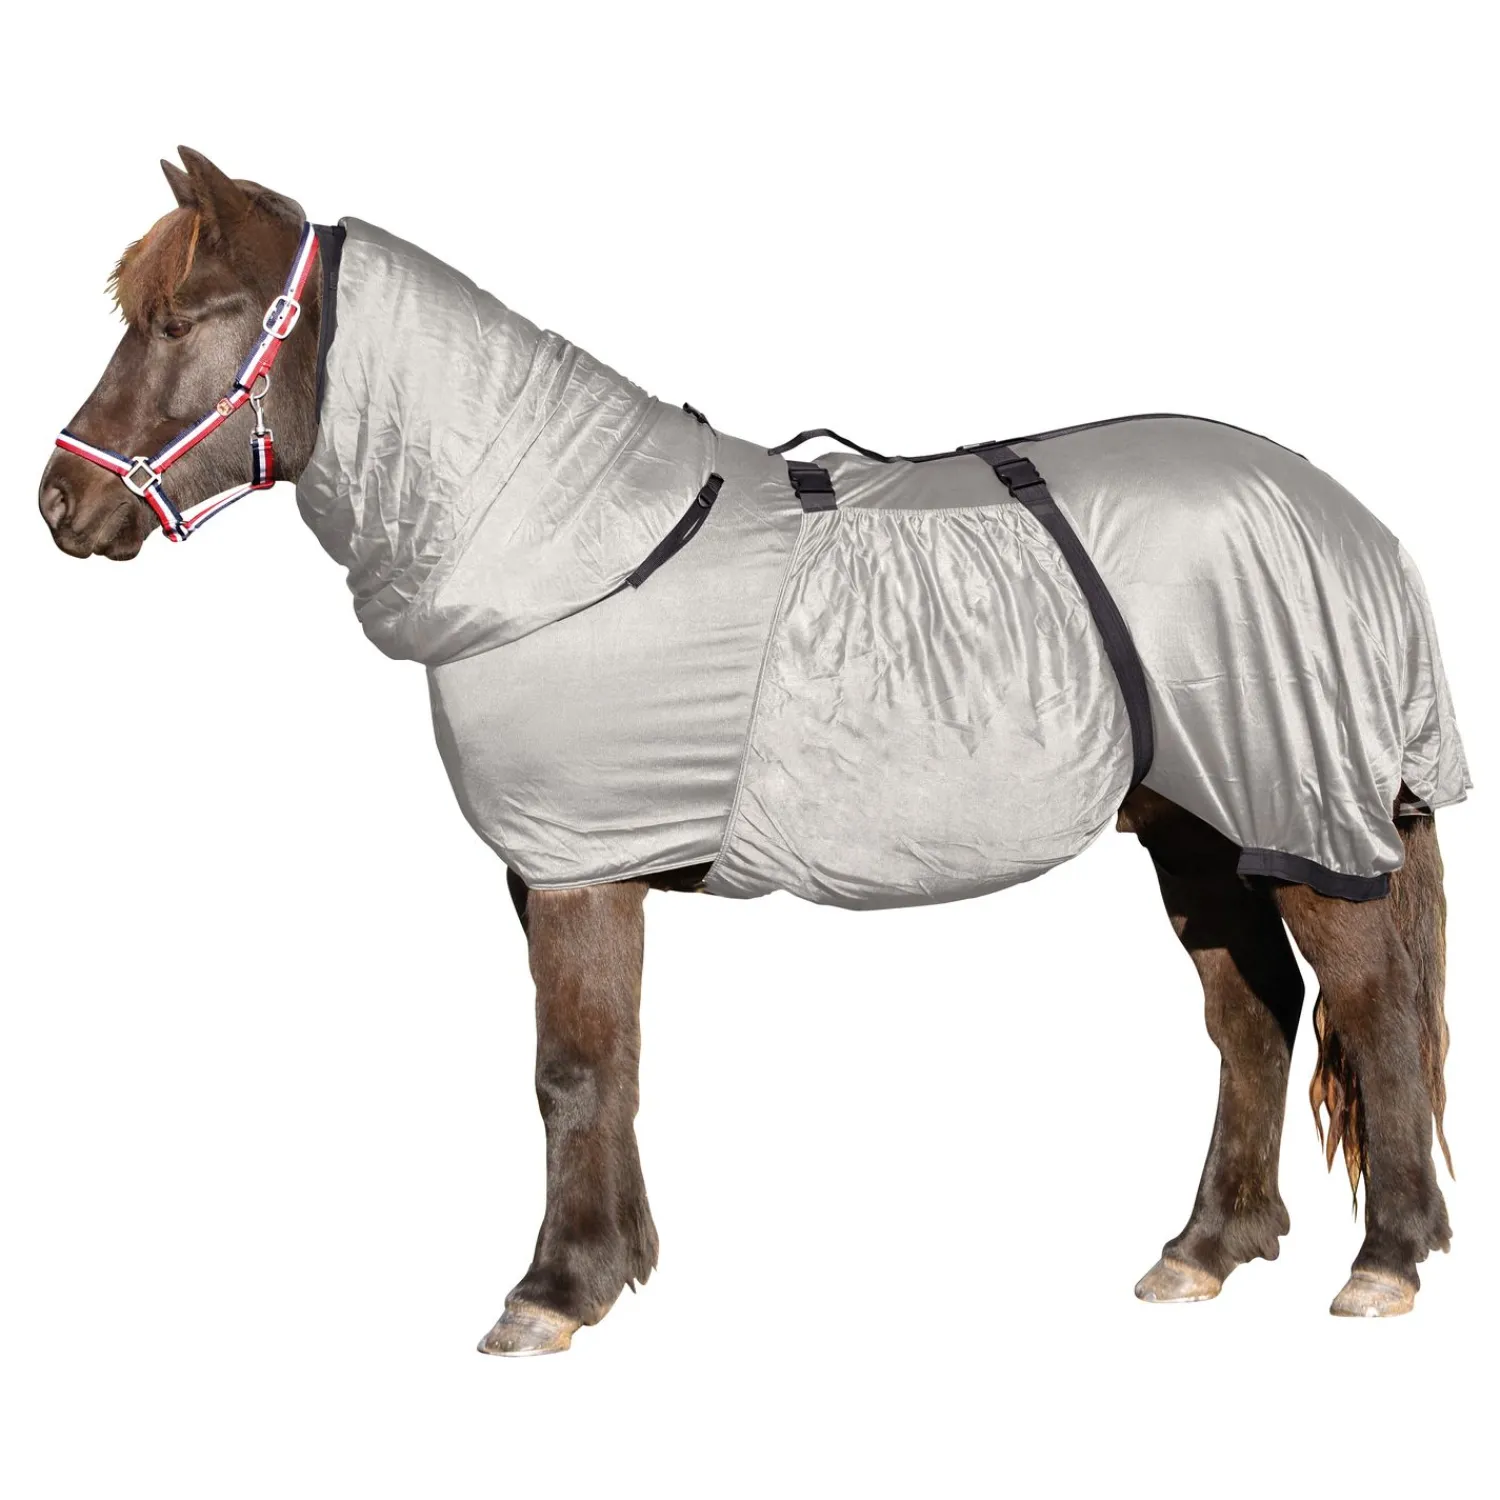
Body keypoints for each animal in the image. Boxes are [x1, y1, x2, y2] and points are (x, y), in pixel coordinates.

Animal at [38, 148, 1465, 1354]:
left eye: (184, 319)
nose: (61, 501)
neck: (561, 542)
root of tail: (1349, 519)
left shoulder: (578, 866)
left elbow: (570, 1071)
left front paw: (553, 1290)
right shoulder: (570, 868)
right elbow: (607, 1068)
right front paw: (616, 1266)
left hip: (1300, 818)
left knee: (1374, 1010)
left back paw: (1384, 1264)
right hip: (1197, 830)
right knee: (1254, 1015)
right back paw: (1207, 1248)